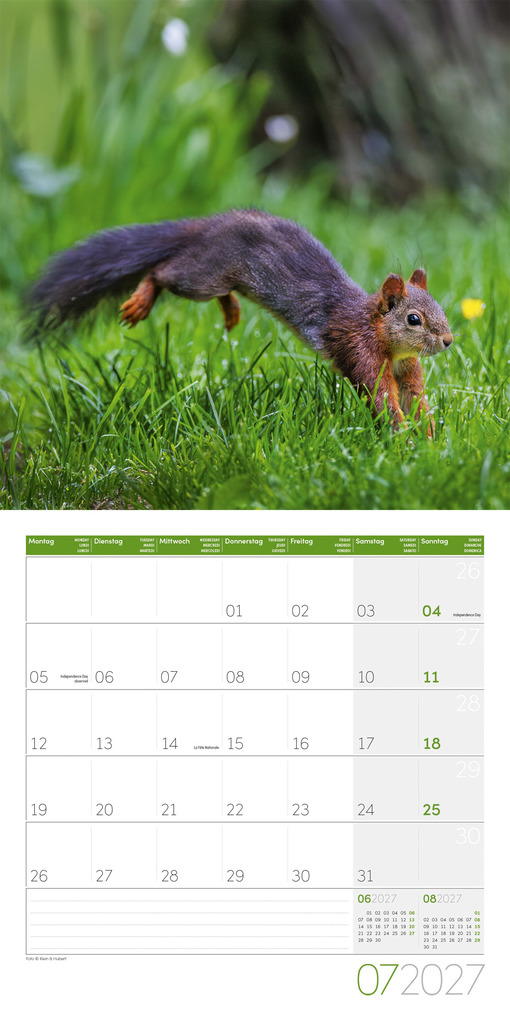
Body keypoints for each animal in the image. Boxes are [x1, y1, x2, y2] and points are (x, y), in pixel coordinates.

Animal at [29, 209, 453, 431]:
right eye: (414, 319)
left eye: (441, 309)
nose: (448, 341)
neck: (380, 333)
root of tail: (210, 224)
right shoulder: (360, 350)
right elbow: (382, 397)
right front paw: (402, 438)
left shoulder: (407, 368)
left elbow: (416, 398)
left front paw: (430, 439)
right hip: (204, 274)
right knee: (164, 271)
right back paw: (142, 299)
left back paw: (231, 309)